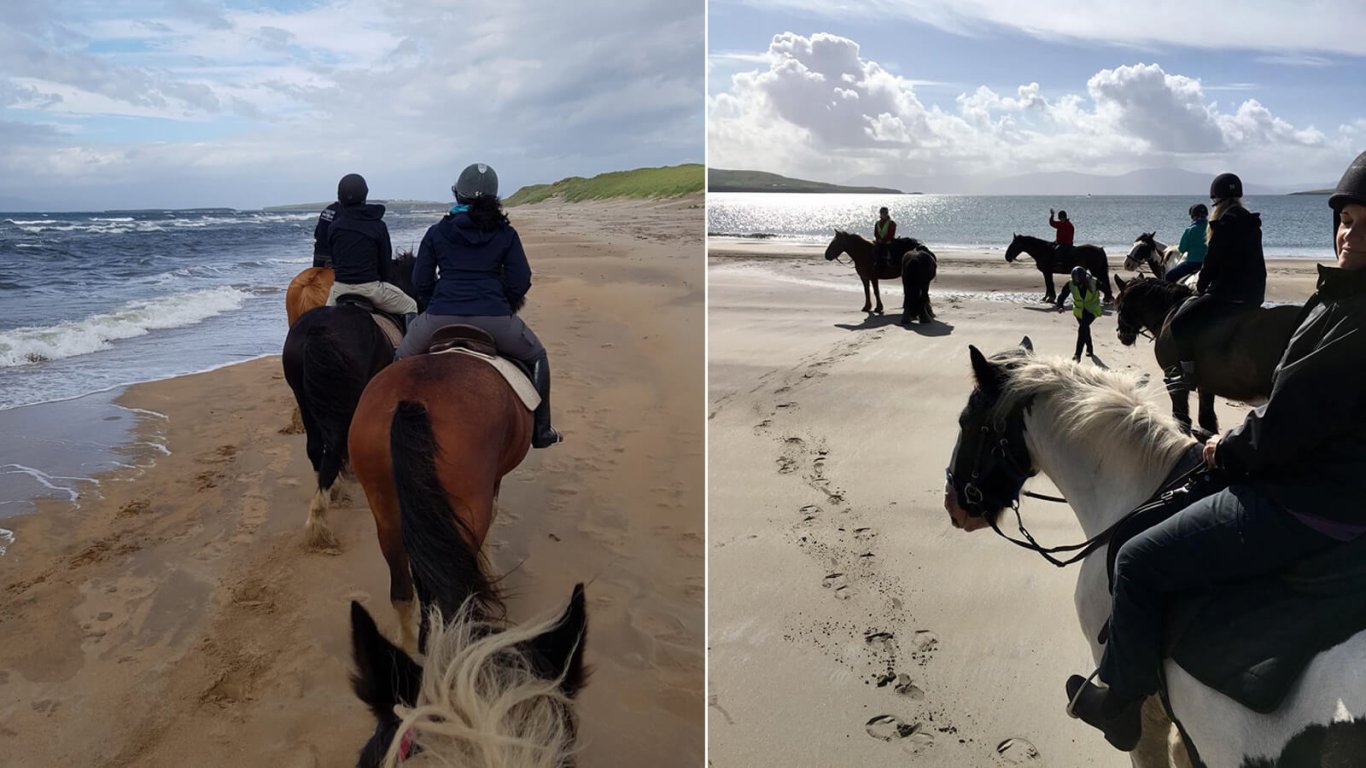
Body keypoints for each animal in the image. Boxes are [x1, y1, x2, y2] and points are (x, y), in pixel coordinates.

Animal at [281, 250, 415, 543]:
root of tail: (318, 330)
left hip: (304, 396)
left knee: (315, 446)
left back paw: (330, 491)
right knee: (333, 445)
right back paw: (320, 521)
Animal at [346, 396, 587, 759]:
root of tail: (408, 400)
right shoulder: (491, 483)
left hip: (386, 513)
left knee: (404, 589)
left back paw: (412, 646)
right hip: (468, 502)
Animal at [1114, 273, 1294, 431]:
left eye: (1120, 306)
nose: (1121, 335)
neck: (1170, 312)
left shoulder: (1174, 380)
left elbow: (1181, 418)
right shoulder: (1205, 384)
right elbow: (1207, 419)